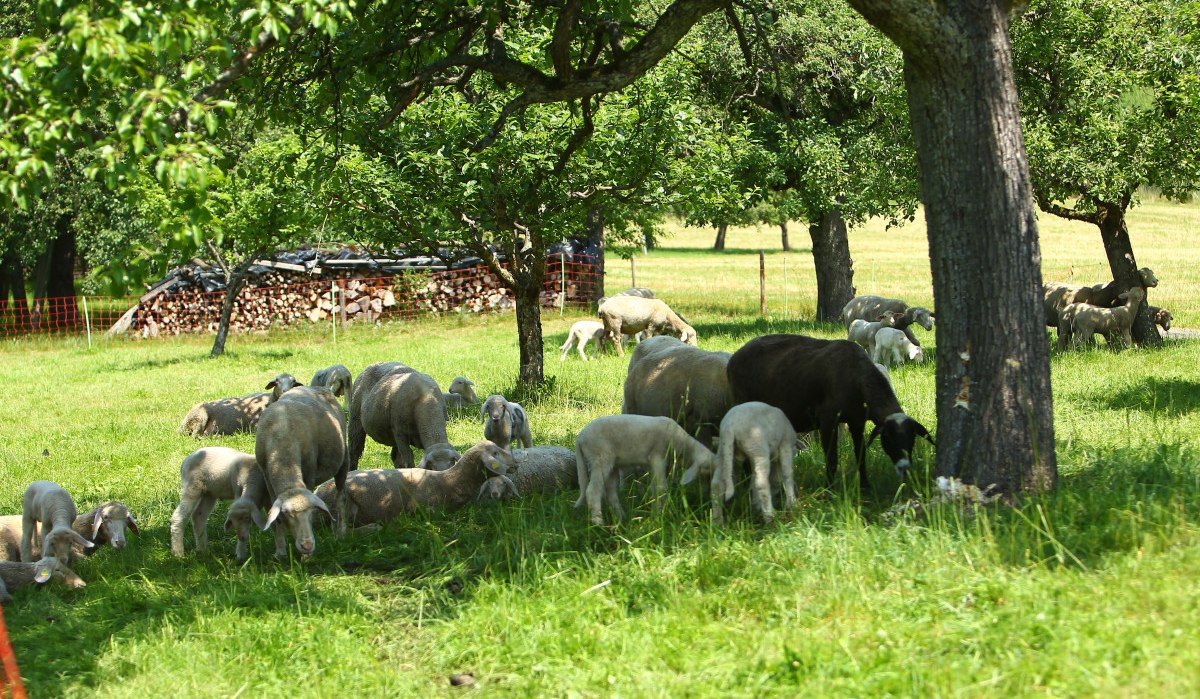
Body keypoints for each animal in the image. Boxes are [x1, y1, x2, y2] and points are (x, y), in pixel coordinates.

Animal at [253, 386, 348, 557]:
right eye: (286, 513)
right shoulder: (267, 477)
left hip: (343, 459)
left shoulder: (309, 471)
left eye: (311, 511)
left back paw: (341, 533)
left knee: (341, 497)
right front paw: (280, 551)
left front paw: (305, 557)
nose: (307, 546)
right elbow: (274, 516)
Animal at [314, 441, 516, 528]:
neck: (448, 481)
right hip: (341, 506)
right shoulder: (422, 508)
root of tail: (316, 493)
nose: (516, 461)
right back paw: (372, 528)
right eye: (495, 453)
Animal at [568, 415, 710, 526]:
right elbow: (662, 487)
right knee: (593, 491)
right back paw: (599, 524)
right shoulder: (658, 457)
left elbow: (654, 488)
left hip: (612, 464)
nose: (706, 495)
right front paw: (661, 515)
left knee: (610, 491)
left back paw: (621, 518)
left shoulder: (652, 465)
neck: (681, 442)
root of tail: (580, 438)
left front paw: (655, 512)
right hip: (600, 458)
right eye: (706, 469)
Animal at [720, 336, 936, 492]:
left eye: (912, 439)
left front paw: (865, 487)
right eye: (888, 437)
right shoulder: (827, 420)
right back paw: (746, 482)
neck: (859, 378)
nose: (905, 468)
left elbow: (861, 455)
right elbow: (832, 459)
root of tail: (735, 357)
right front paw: (829, 490)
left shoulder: (857, 422)